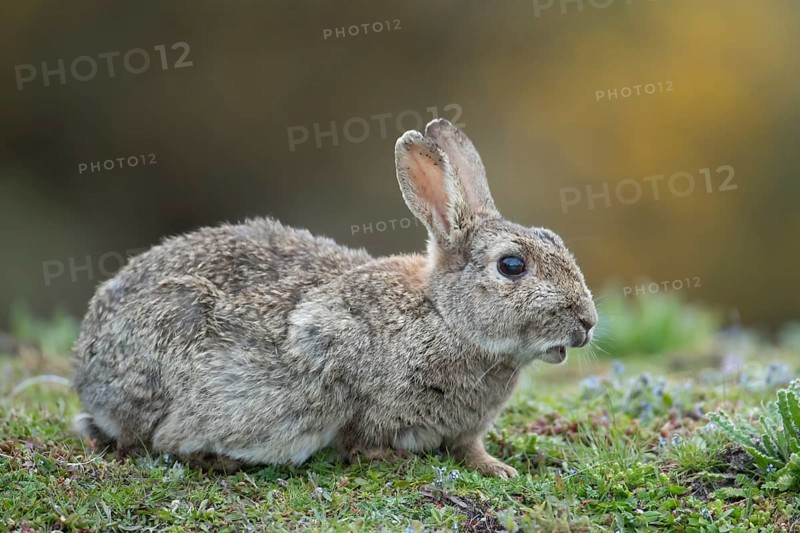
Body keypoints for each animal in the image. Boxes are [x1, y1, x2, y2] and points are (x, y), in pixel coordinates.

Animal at [72, 118, 597, 478]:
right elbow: (360, 438)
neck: (443, 316)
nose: (588, 321)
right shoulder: (332, 350)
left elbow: (469, 449)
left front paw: (498, 468)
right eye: (512, 266)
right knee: (150, 441)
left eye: (554, 238)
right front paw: (394, 460)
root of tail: (86, 371)